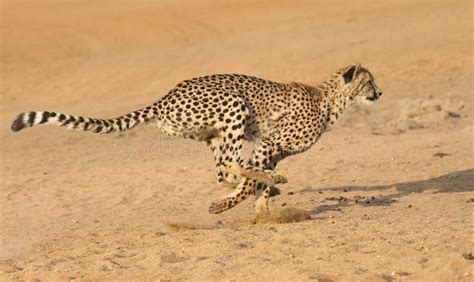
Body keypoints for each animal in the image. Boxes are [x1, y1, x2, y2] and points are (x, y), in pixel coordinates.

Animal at [11, 63, 382, 214]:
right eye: (369, 82)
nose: (379, 93)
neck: (330, 100)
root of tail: (165, 96)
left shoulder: (272, 151)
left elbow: (255, 182)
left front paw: (262, 205)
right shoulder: (267, 144)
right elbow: (253, 179)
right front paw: (233, 204)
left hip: (214, 133)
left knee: (221, 169)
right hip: (233, 107)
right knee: (230, 164)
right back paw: (256, 187)